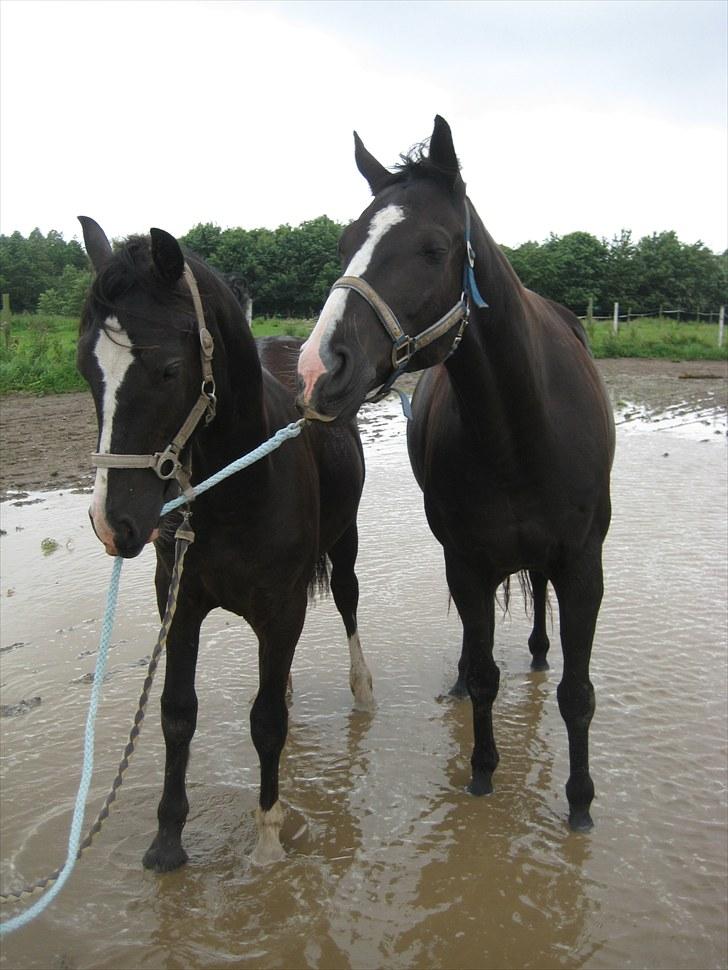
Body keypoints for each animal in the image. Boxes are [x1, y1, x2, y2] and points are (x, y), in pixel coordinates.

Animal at [78, 219, 376, 868]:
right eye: (87, 369)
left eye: (168, 369)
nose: (113, 524)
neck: (240, 484)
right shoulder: (179, 603)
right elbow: (176, 713)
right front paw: (167, 841)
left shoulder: (283, 608)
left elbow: (265, 724)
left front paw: (267, 840)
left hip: (345, 541)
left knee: (348, 601)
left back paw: (362, 690)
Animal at [298, 111, 616, 824]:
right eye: (345, 243)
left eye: (433, 249)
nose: (317, 369)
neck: (522, 431)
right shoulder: (467, 565)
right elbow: (485, 677)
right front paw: (481, 774)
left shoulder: (583, 566)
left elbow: (577, 694)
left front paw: (580, 803)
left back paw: (538, 653)